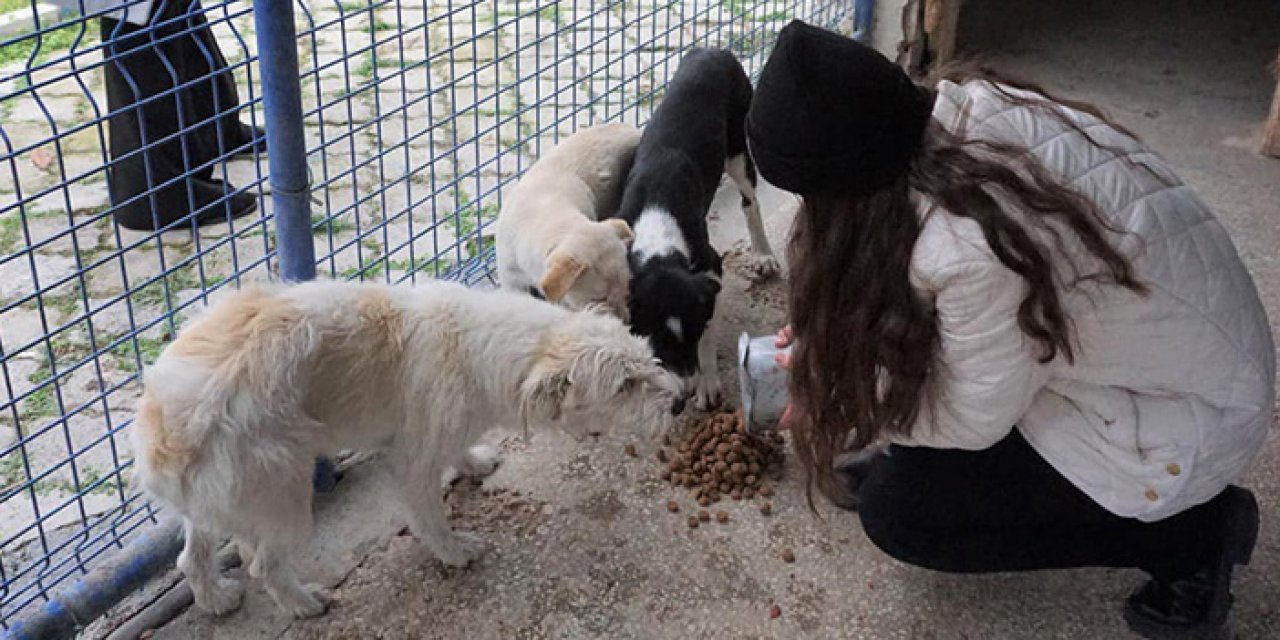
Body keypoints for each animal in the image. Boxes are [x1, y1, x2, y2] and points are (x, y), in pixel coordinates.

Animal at [132, 277, 680, 616]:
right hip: (286, 498)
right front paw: (455, 552)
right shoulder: (412, 463)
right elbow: (430, 518)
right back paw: (304, 605)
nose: (678, 402)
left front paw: (475, 462)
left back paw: (215, 599)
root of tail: (163, 433)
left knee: (191, 559)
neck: (474, 345)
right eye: (625, 386)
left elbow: (462, 451)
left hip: (212, 505)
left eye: (646, 360)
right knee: (264, 564)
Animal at [611, 48, 778, 409]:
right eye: (657, 340)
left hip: (738, 149)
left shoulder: (711, 266)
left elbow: (707, 336)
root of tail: (714, 50)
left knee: (751, 203)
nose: (684, 393)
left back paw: (763, 254)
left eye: (693, 333)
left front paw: (707, 384)